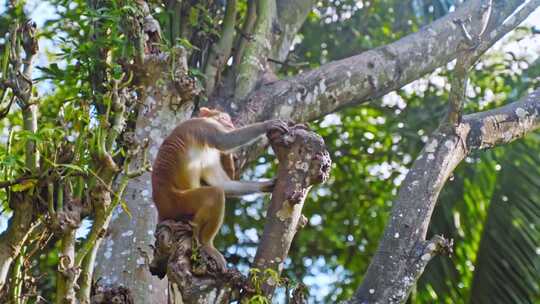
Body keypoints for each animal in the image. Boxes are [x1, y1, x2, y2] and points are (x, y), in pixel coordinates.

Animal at [150, 108, 288, 270]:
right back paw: (206, 244)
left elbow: (221, 182)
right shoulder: (204, 126)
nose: (230, 123)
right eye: (224, 118)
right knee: (214, 194)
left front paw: (267, 185)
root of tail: (161, 209)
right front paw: (267, 125)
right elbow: (224, 140)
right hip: (177, 203)